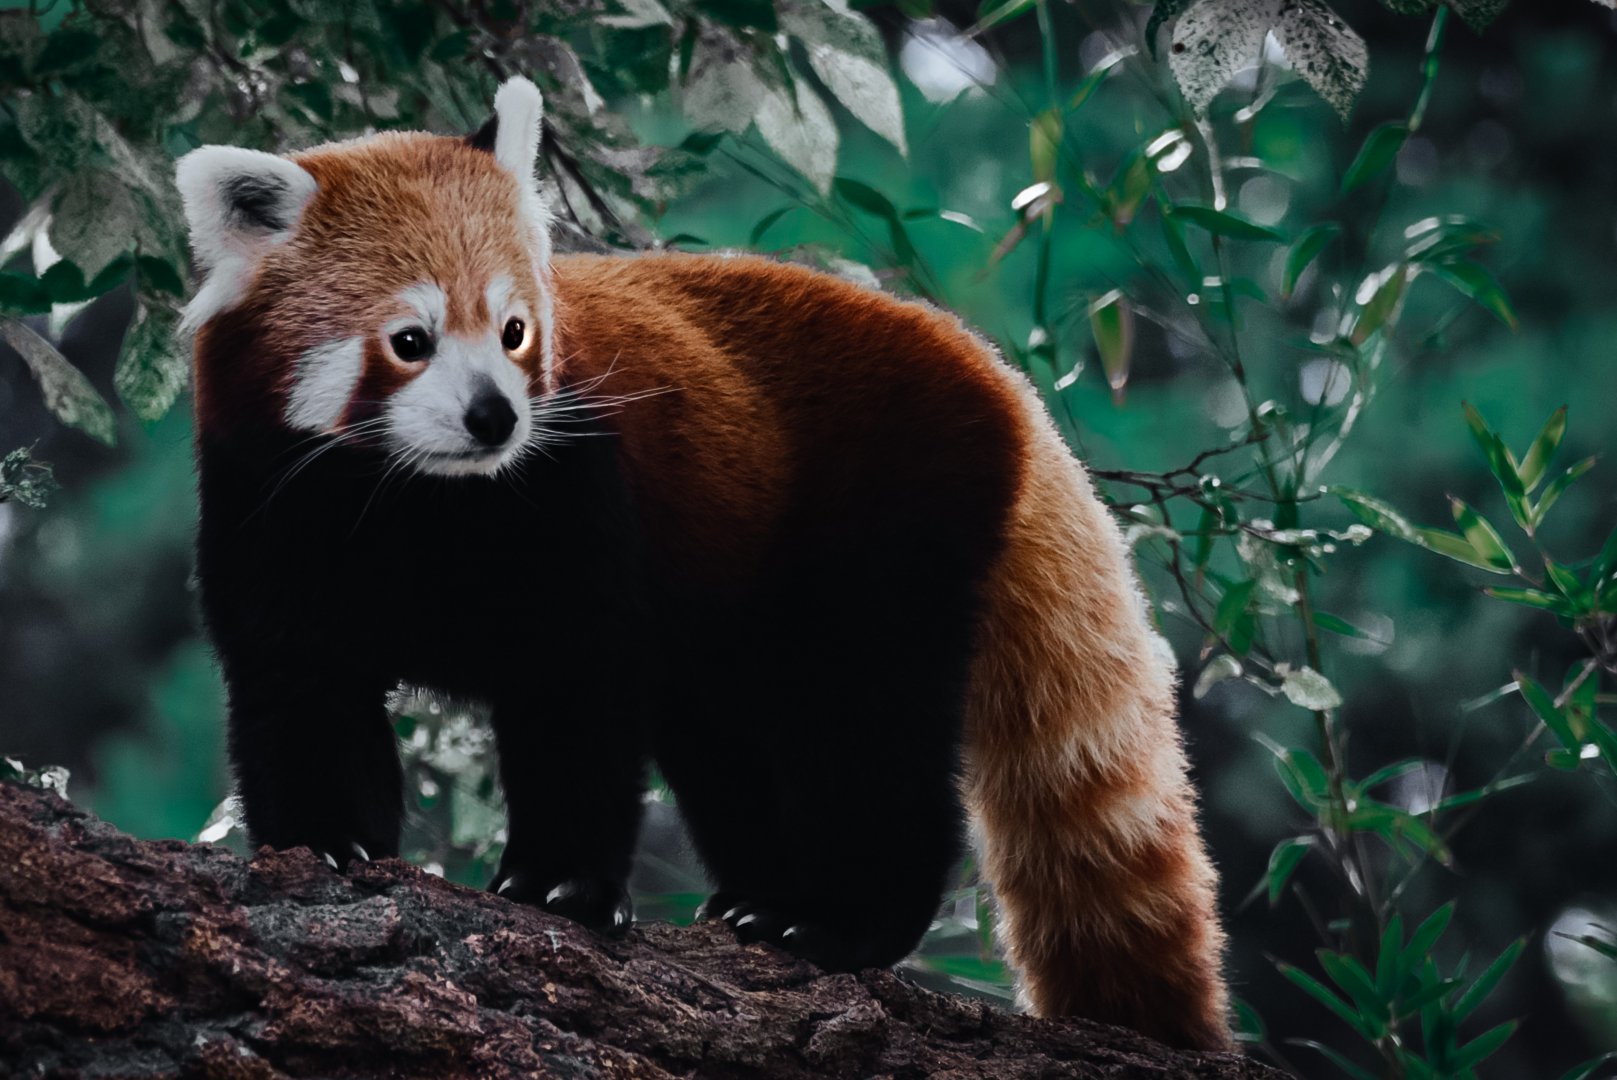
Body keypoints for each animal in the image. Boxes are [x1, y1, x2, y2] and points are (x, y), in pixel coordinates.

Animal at [175, 75, 1229, 1050]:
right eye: (410, 341)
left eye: (514, 332)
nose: (494, 418)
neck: (417, 497)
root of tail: (995, 372)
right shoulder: (267, 500)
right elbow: (299, 685)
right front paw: (325, 845)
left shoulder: (569, 487)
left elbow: (576, 692)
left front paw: (559, 885)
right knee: (724, 731)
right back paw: (760, 899)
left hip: (890, 504)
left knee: (865, 720)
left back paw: (840, 924)